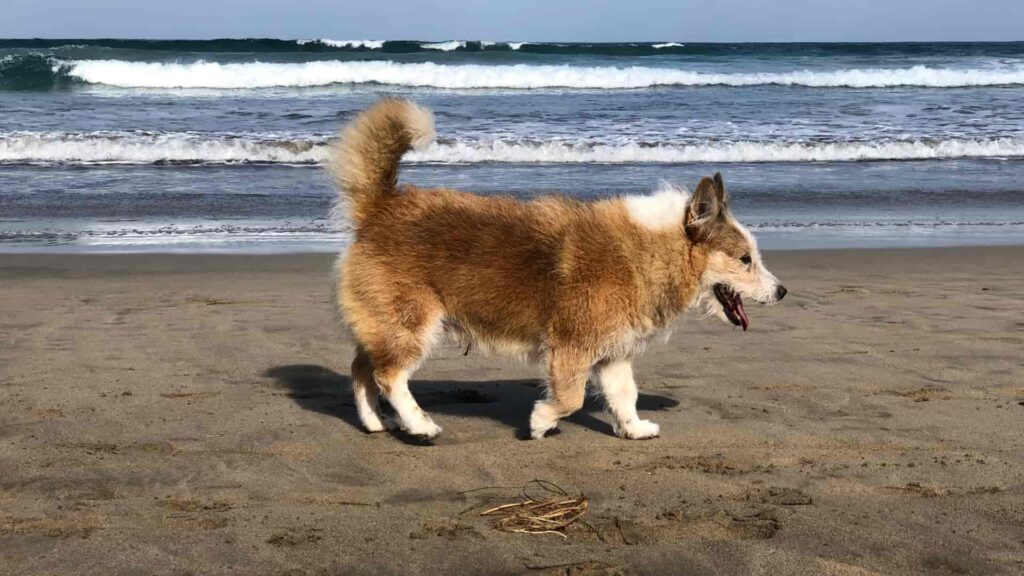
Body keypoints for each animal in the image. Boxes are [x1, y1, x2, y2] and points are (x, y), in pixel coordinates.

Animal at [327, 98, 782, 438]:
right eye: (745, 259)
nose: (782, 292)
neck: (650, 251)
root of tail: (381, 207)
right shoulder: (571, 348)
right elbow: (571, 398)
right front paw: (542, 421)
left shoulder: (612, 355)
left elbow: (625, 395)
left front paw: (634, 429)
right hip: (413, 324)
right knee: (389, 375)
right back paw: (419, 424)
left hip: (385, 325)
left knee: (362, 368)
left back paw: (373, 421)